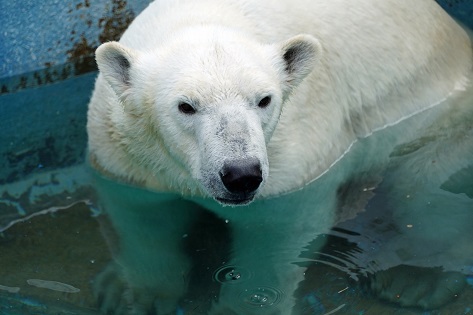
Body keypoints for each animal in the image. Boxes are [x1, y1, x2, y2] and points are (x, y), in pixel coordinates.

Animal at [86, 0, 470, 314]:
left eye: (264, 99)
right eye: (186, 106)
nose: (241, 174)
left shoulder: (292, 160)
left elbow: (273, 240)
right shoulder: (128, 156)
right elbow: (144, 219)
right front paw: (132, 295)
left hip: (438, 122)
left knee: (420, 195)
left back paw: (416, 280)